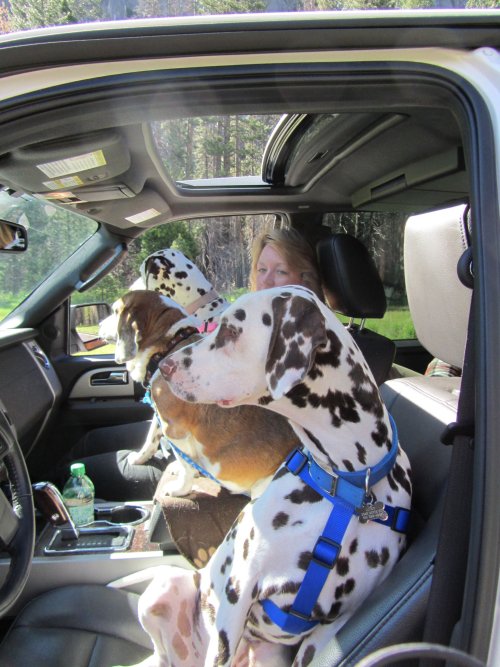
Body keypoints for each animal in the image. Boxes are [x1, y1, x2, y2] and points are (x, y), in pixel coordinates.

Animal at [107, 290, 298, 498]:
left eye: (115, 311)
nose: (100, 324)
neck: (168, 345)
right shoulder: (161, 417)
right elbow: (152, 438)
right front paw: (140, 458)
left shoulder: (175, 430)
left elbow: (185, 465)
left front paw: (181, 488)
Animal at [132, 286, 410, 667]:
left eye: (230, 331)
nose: (165, 366)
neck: (348, 484)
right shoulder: (239, 589)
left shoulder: (334, 625)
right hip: (164, 587)